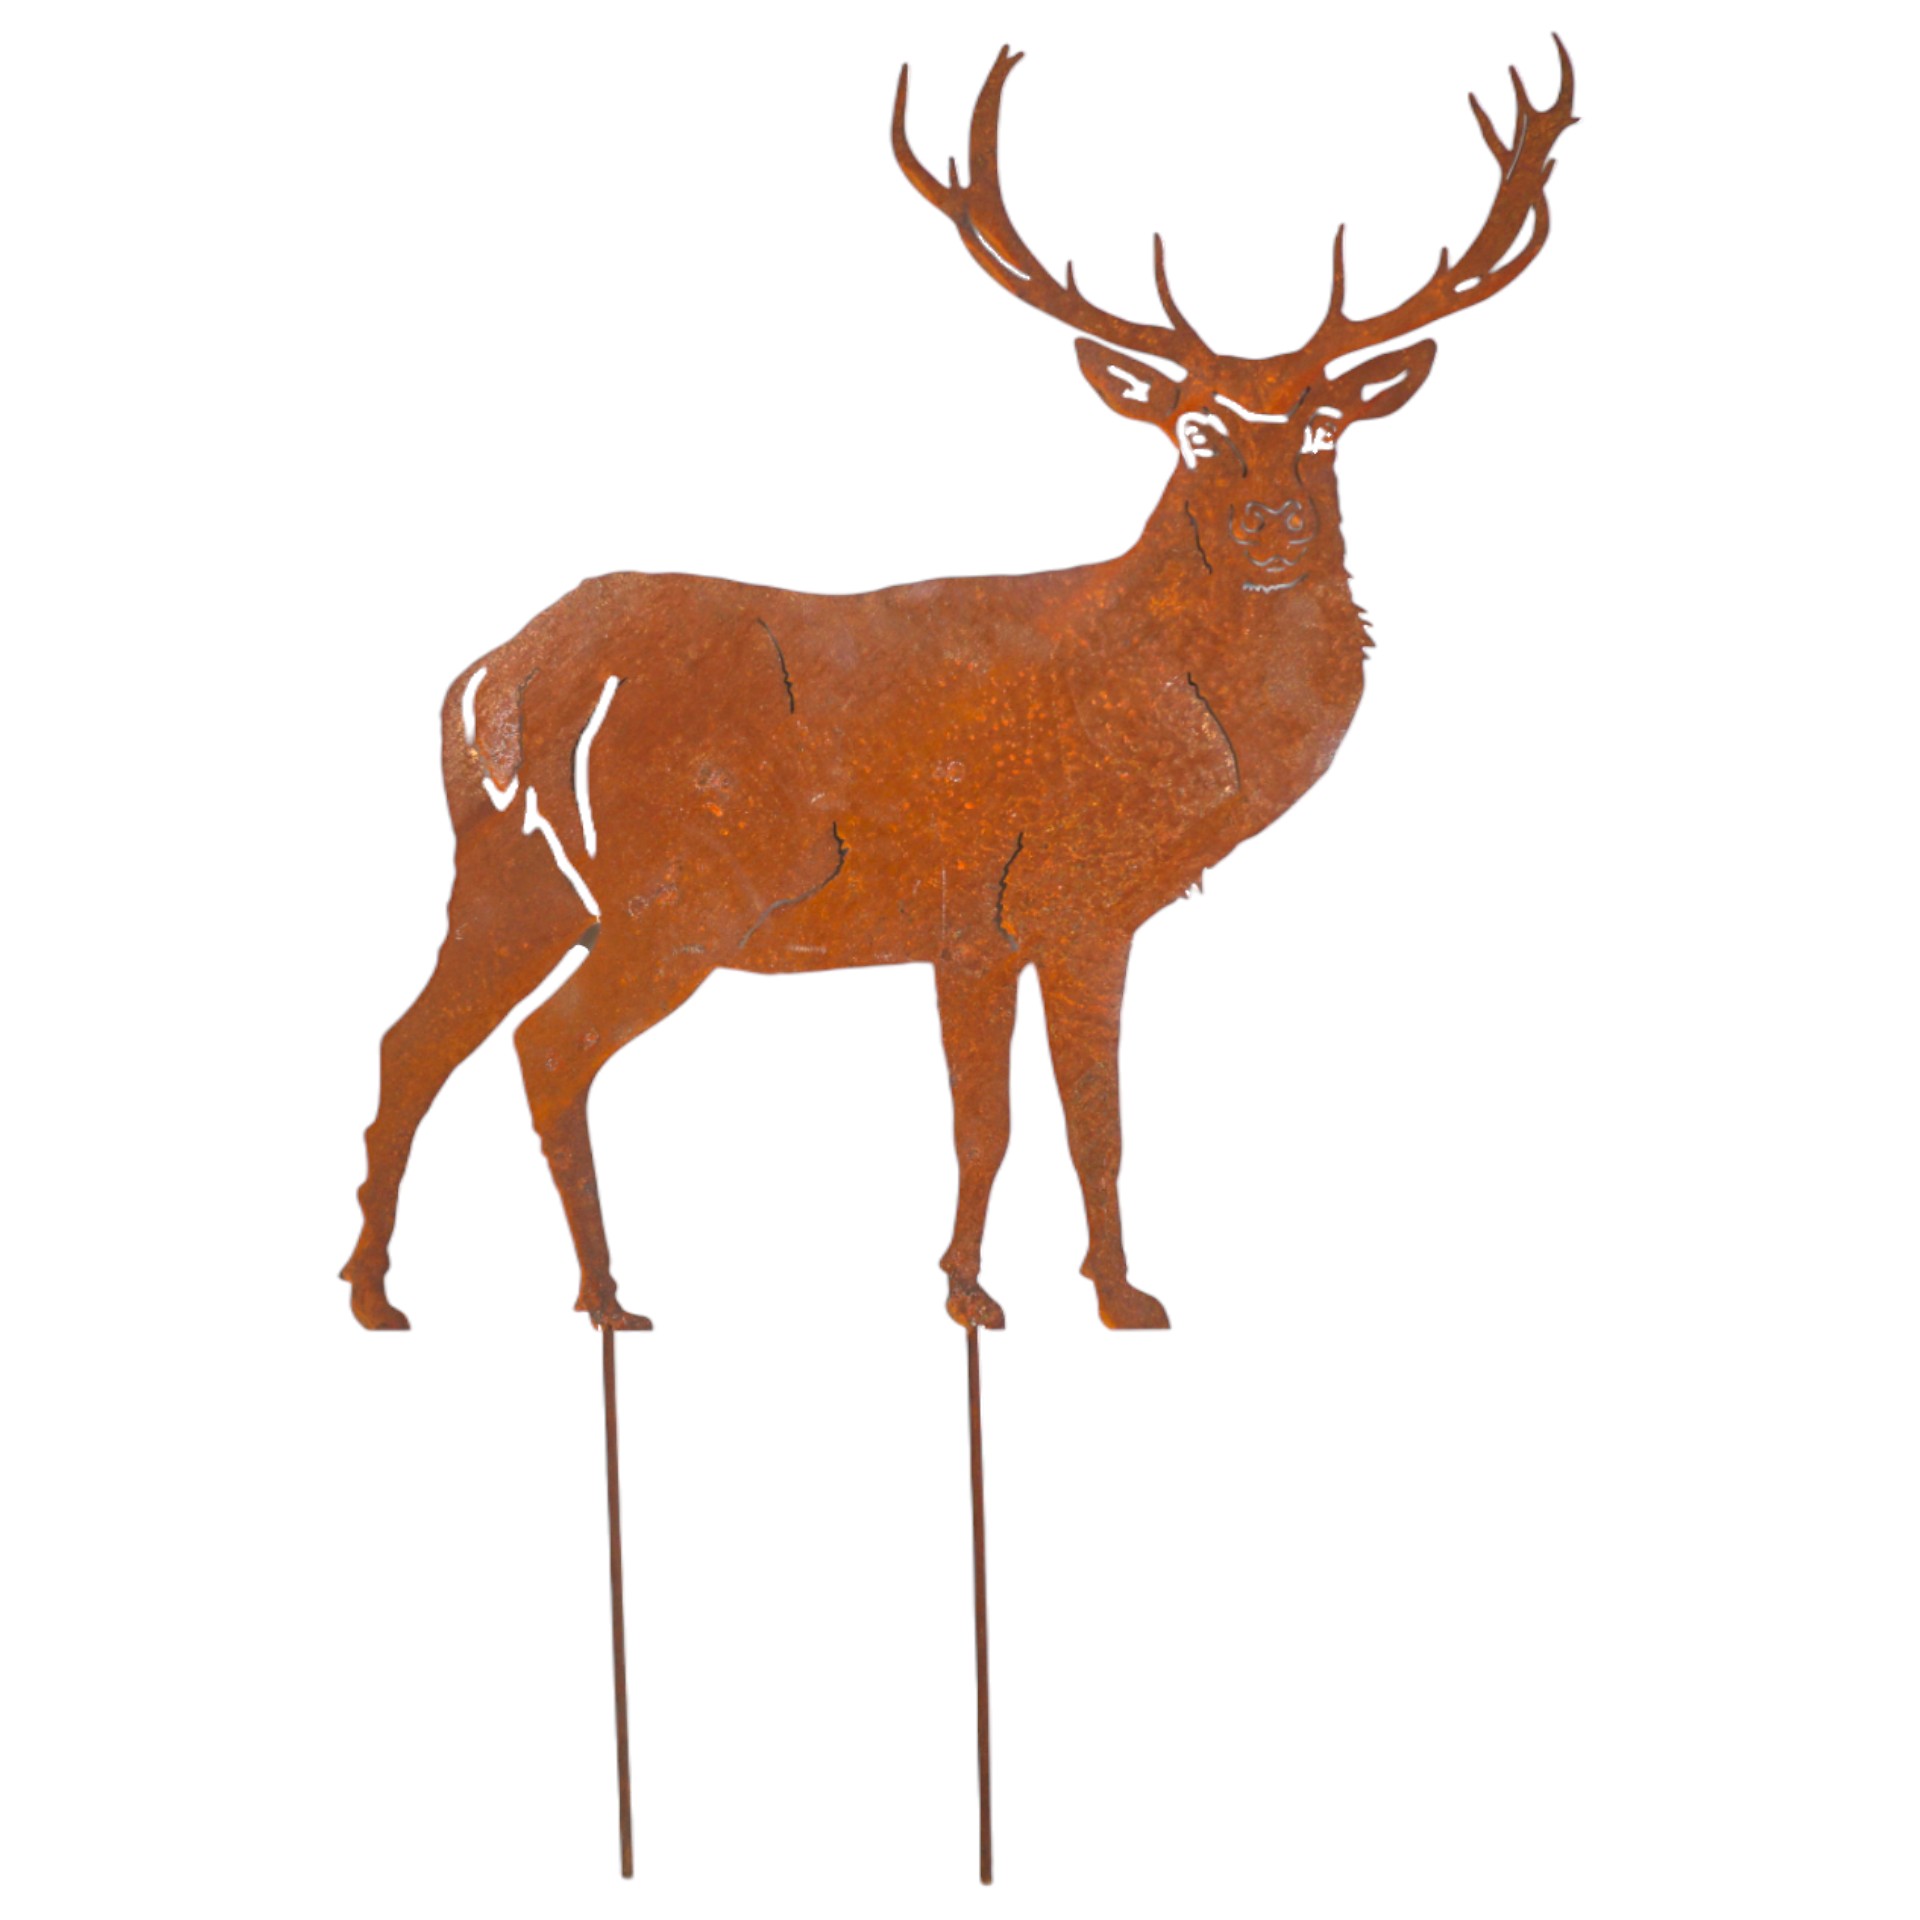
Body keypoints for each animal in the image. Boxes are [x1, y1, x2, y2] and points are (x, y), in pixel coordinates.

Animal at [342, 42, 1576, 1337]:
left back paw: (377, 1291)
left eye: (1328, 425)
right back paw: (603, 1298)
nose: (1274, 522)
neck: (1192, 729)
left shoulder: (974, 927)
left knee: (408, 1042)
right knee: (546, 1047)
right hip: (684, 890)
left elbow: (985, 1123)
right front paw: (1109, 1295)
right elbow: (1085, 1122)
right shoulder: (1071, 895)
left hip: (507, 879)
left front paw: (973, 1285)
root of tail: (501, 671)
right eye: (1192, 430)